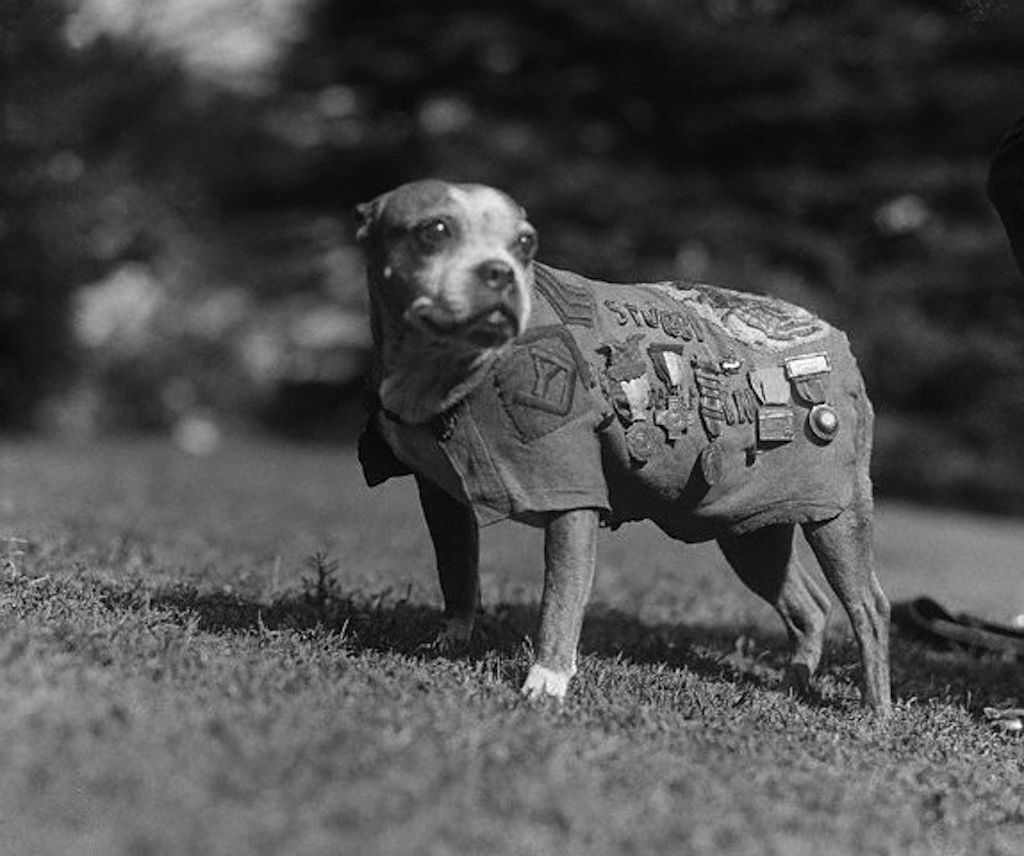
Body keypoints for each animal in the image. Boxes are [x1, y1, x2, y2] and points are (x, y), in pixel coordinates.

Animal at [356, 179, 892, 716]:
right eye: (434, 230)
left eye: (526, 243)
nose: (499, 271)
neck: (448, 370)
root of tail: (834, 337)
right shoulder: (441, 498)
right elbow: (457, 573)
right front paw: (449, 643)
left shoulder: (572, 499)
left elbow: (560, 598)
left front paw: (546, 682)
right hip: (750, 529)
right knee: (809, 606)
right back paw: (794, 683)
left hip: (837, 517)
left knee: (869, 607)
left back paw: (876, 709)